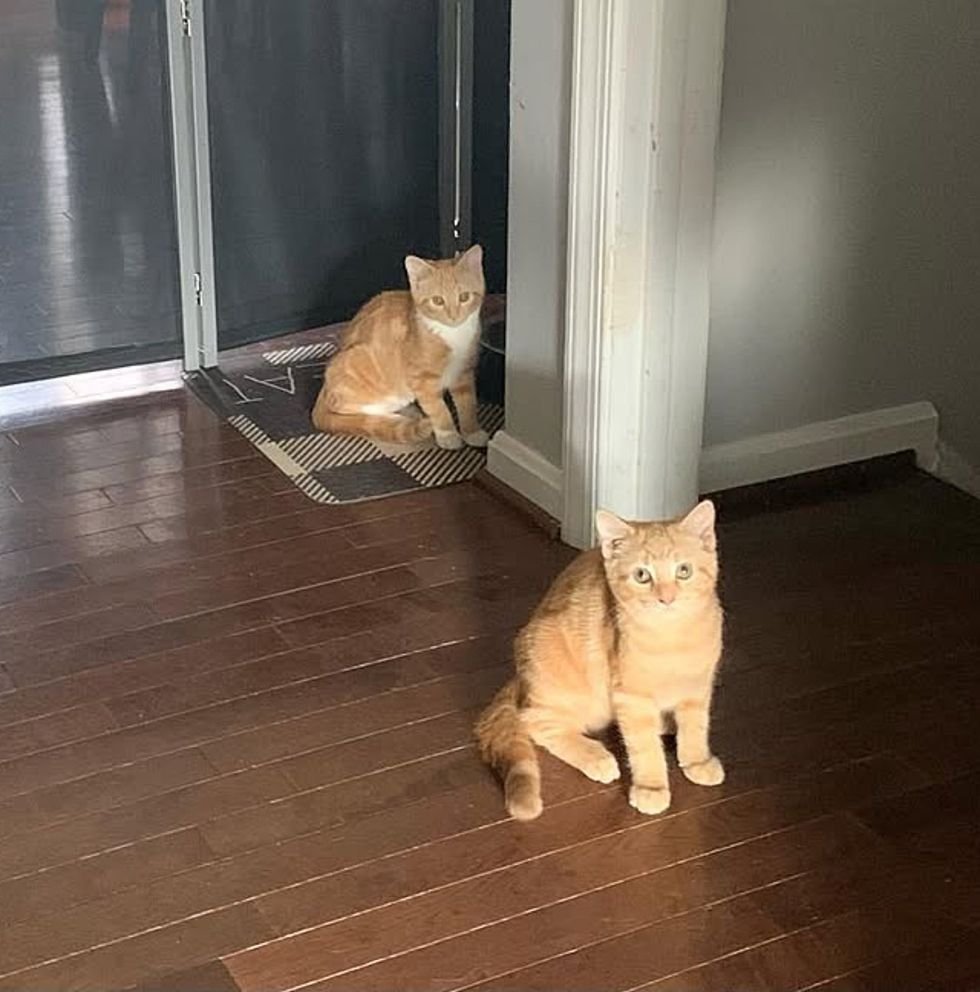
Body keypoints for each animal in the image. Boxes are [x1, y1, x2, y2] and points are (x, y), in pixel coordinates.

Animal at [314, 246, 490, 448]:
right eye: (437, 300)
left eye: (464, 297)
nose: (453, 316)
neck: (453, 335)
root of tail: (324, 388)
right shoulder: (421, 380)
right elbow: (438, 409)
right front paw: (448, 435)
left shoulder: (464, 372)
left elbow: (467, 403)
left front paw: (472, 432)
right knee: (344, 407)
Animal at [478, 504, 724, 820]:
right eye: (642, 575)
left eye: (684, 571)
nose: (666, 598)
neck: (672, 638)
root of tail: (521, 680)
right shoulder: (631, 697)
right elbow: (644, 747)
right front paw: (651, 787)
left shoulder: (698, 686)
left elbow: (696, 728)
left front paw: (696, 761)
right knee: (534, 721)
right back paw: (596, 756)